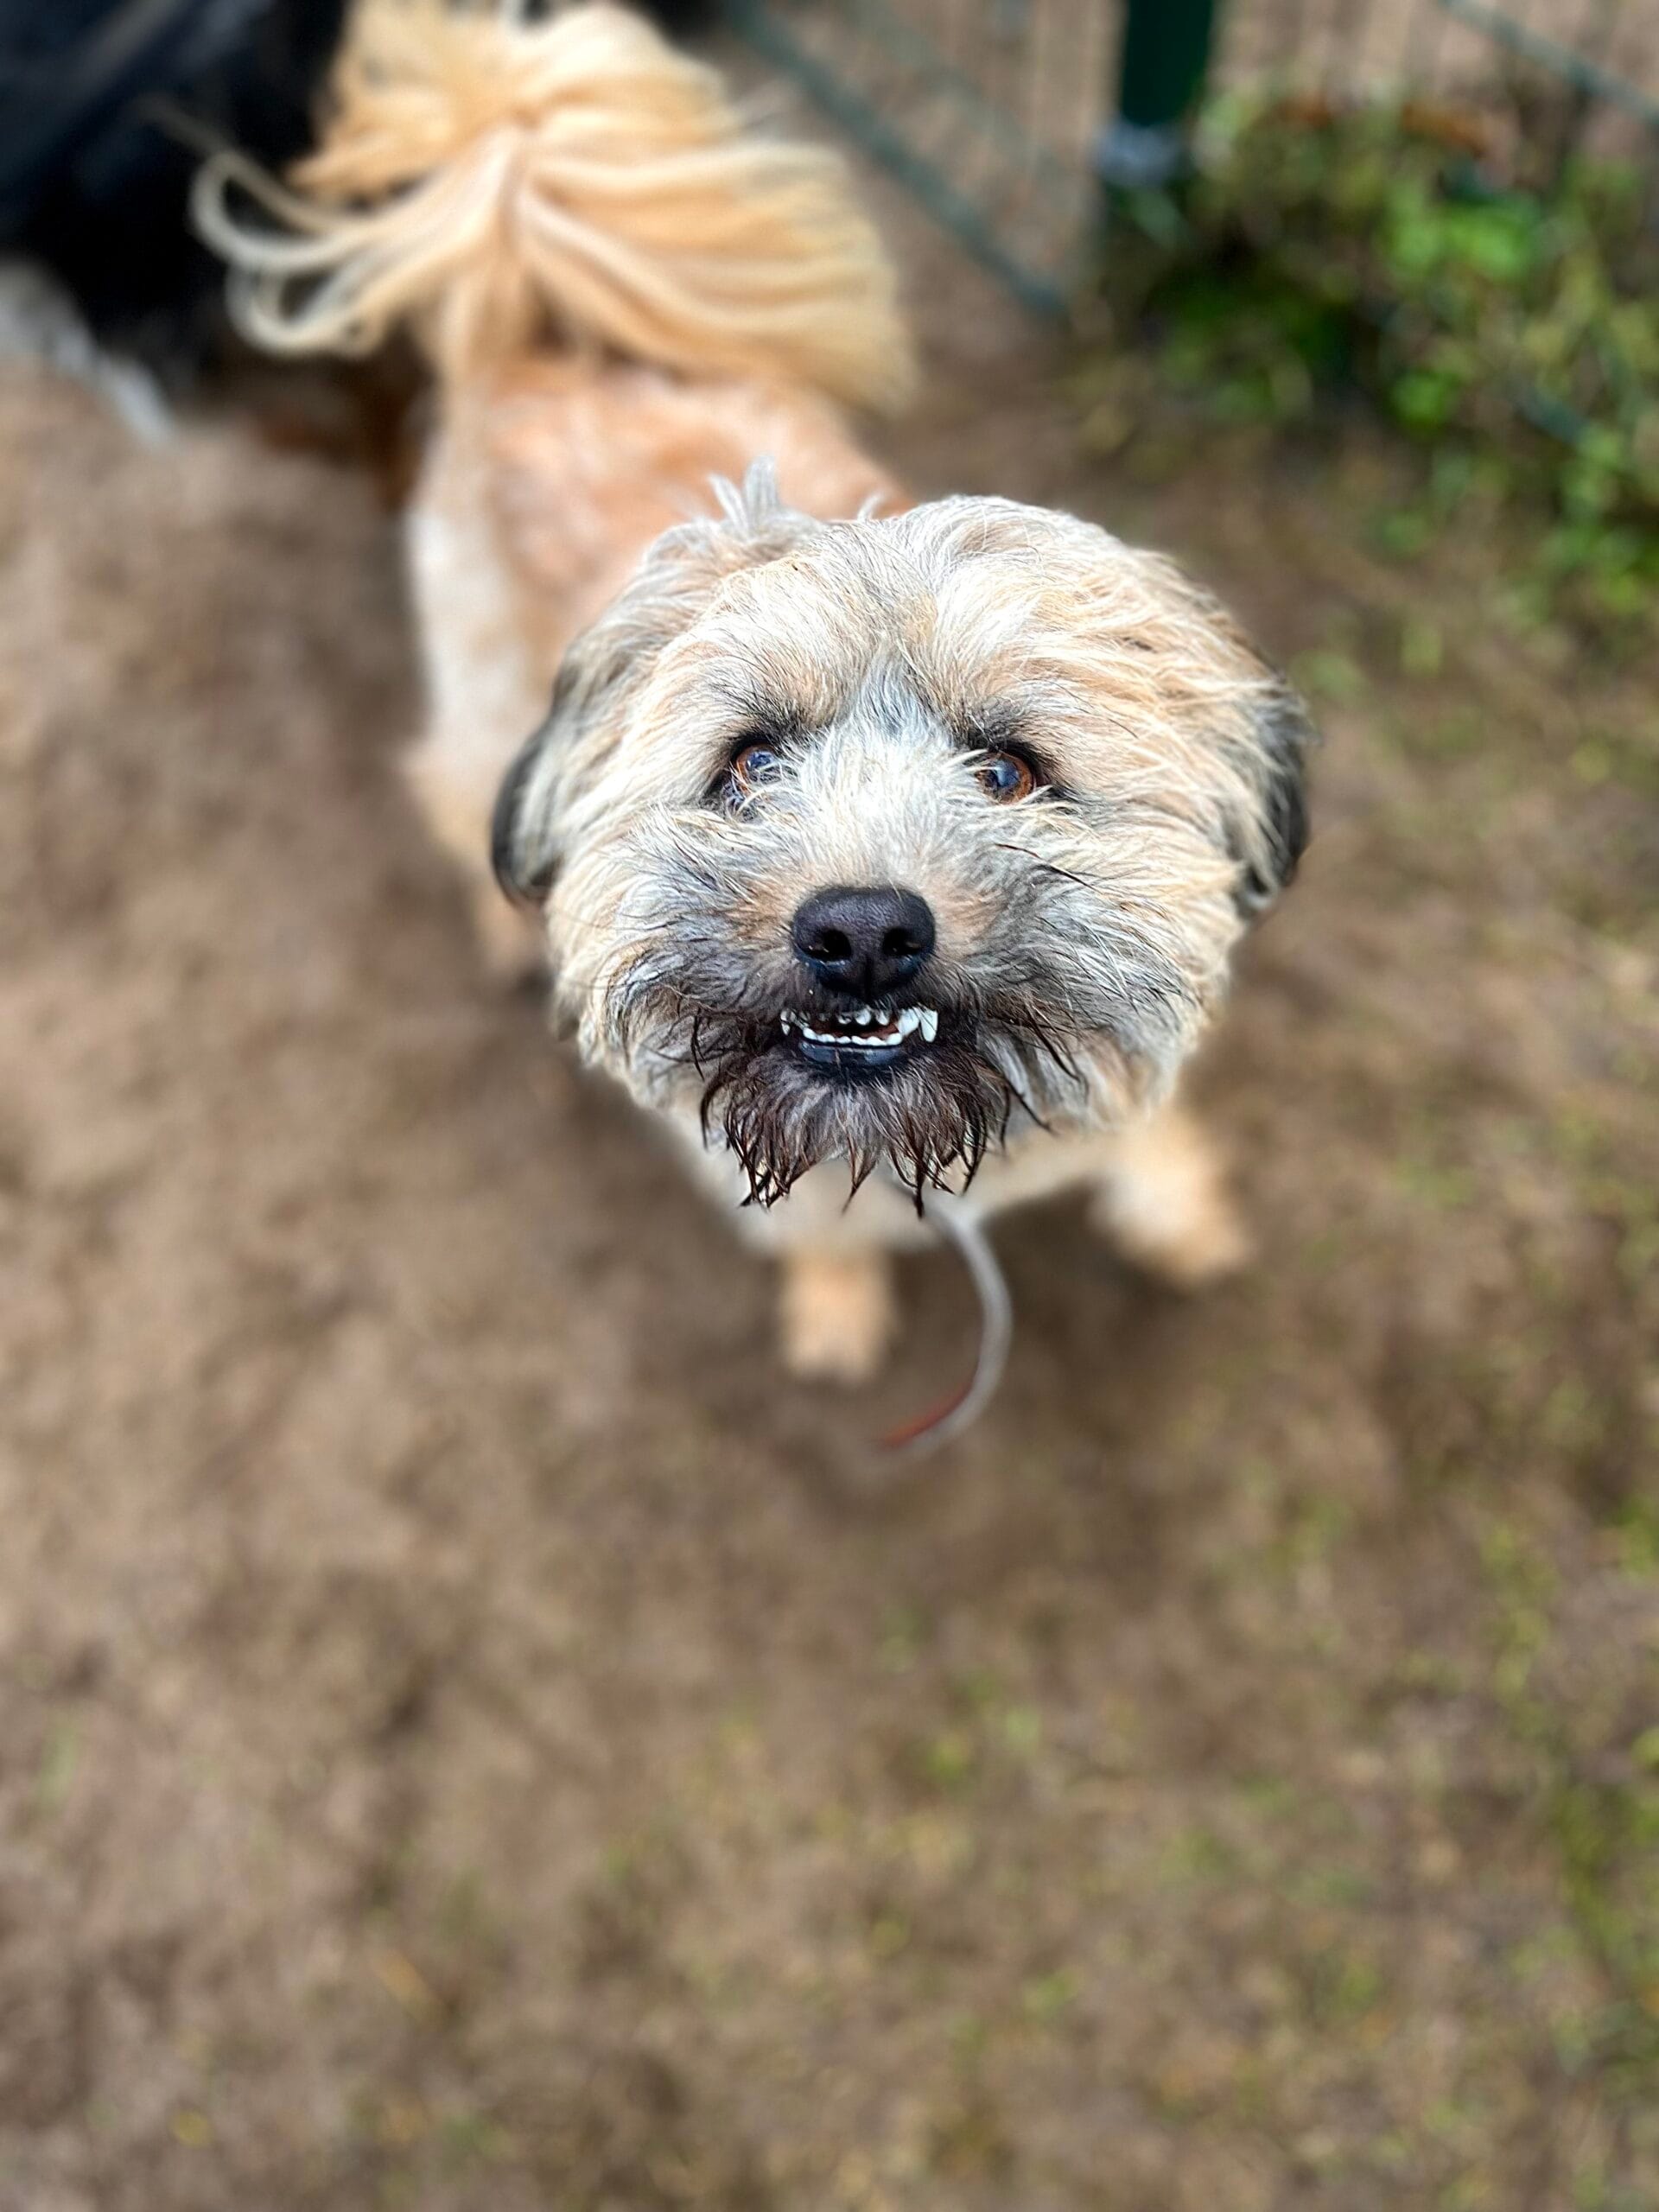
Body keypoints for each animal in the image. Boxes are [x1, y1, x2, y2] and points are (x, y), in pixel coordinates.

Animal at [197, 0, 1311, 1388]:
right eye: (748, 765)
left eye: (1009, 770)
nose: (864, 932)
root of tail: (540, 331)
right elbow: (817, 1238)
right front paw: (836, 1317)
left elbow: (1149, 1132)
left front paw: (1186, 1217)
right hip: (481, 695)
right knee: (453, 799)